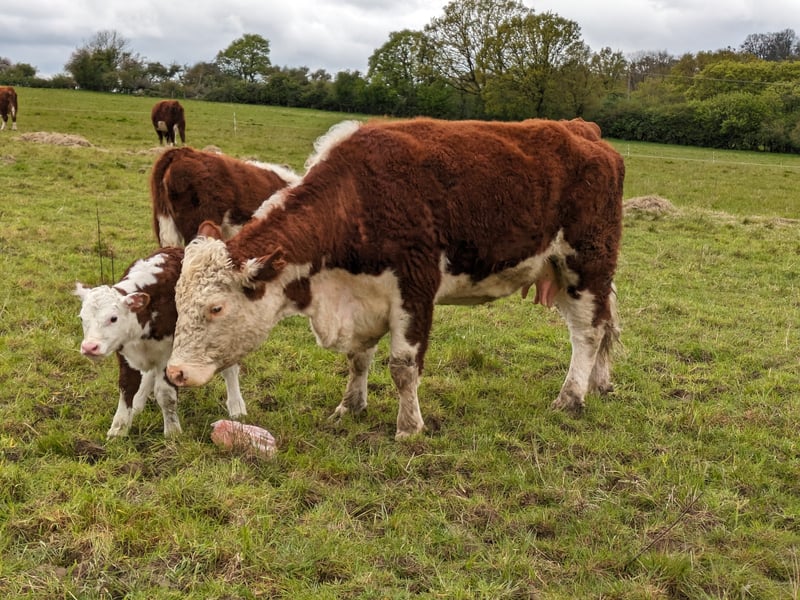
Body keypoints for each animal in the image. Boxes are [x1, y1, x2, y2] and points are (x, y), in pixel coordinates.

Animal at [75, 247, 247, 438]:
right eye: (82, 318)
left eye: (113, 318)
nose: (90, 347)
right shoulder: (125, 353)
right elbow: (127, 387)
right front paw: (119, 428)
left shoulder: (169, 355)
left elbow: (166, 393)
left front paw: (172, 432)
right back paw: (138, 404)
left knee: (230, 370)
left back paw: (236, 407)